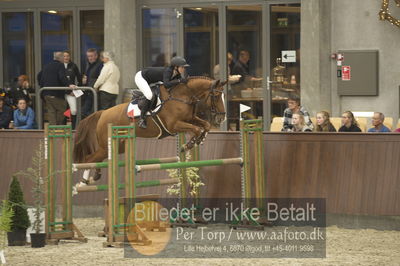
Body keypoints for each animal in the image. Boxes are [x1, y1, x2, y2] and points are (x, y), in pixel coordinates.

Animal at [73, 77, 227, 184]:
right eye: (216, 96)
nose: (222, 118)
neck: (182, 97)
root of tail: (102, 113)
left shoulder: (190, 118)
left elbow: (205, 125)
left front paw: (199, 139)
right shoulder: (173, 125)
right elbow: (196, 129)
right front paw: (188, 145)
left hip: (118, 146)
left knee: (98, 158)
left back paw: (95, 175)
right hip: (106, 145)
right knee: (89, 158)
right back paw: (85, 180)